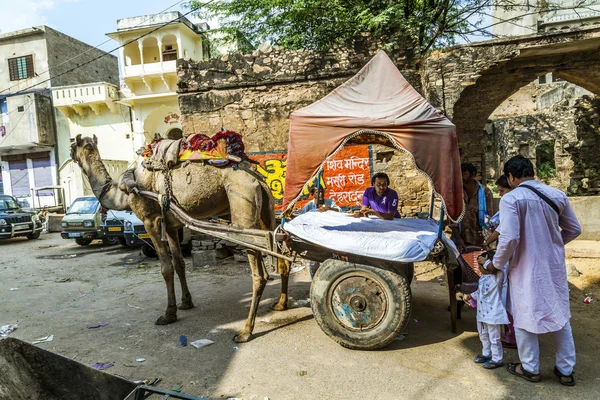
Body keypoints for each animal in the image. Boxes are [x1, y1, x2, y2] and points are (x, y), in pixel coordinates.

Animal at [71, 134, 292, 340]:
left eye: (74, 145)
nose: (71, 154)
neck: (125, 190)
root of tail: (258, 179)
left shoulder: (151, 220)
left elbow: (166, 268)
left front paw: (168, 314)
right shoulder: (171, 225)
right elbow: (179, 263)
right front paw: (186, 303)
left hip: (243, 209)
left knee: (260, 274)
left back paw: (245, 331)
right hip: (265, 212)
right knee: (281, 254)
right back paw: (280, 304)